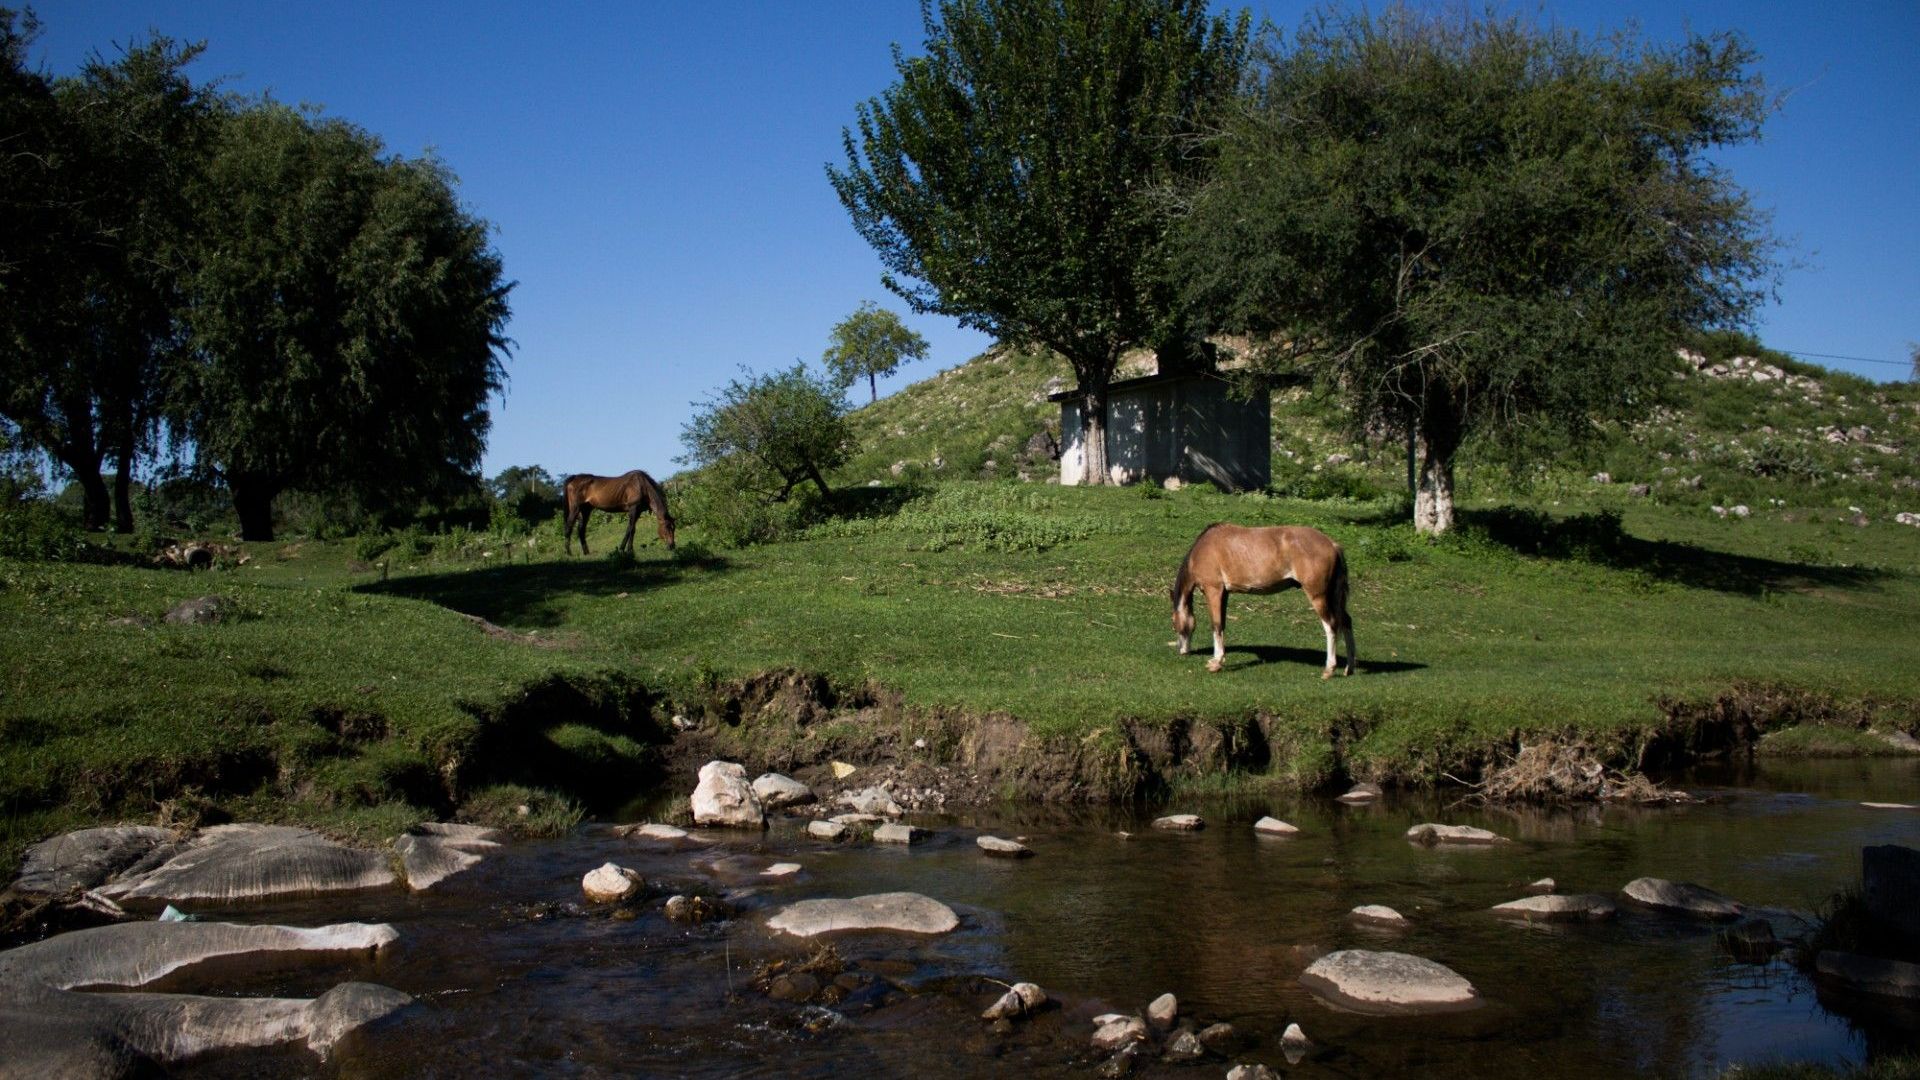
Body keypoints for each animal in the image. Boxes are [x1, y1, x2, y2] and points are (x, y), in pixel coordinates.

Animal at [1167, 518, 1351, 672]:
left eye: (1174, 623)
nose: (1181, 650)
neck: (1203, 547)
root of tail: (1332, 544)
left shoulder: (1213, 590)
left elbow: (1216, 625)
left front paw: (1216, 662)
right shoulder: (1224, 594)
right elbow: (1222, 624)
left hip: (1318, 596)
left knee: (1331, 625)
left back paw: (1329, 669)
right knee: (1346, 622)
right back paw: (1349, 668)